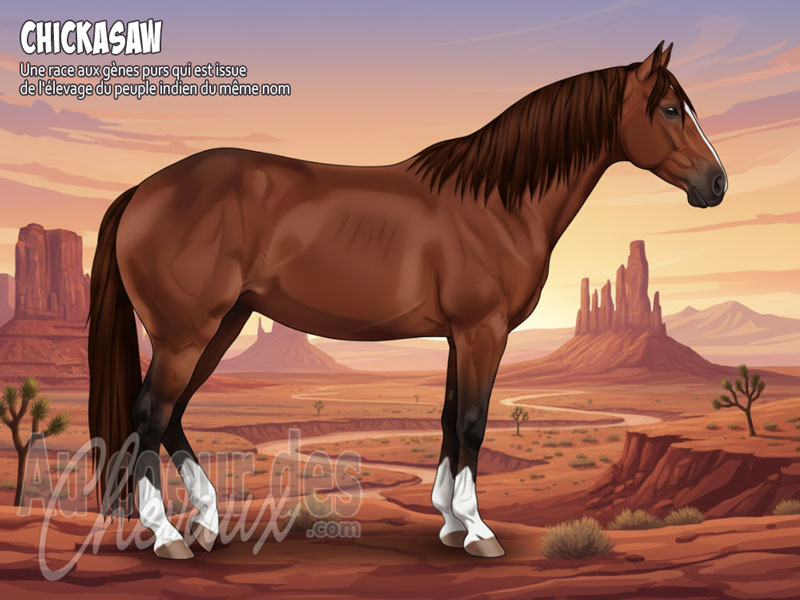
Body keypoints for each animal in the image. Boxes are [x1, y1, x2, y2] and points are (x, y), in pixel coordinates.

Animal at [88, 41, 726, 560]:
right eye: (671, 109)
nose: (717, 183)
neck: (497, 203)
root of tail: (143, 190)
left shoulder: (459, 336)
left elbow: (447, 419)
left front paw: (448, 523)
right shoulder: (483, 330)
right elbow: (472, 423)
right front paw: (478, 531)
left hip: (220, 326)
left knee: (173, 415)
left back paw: (207, 524)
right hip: (186, 333)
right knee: (151, 415)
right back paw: (168, 537)